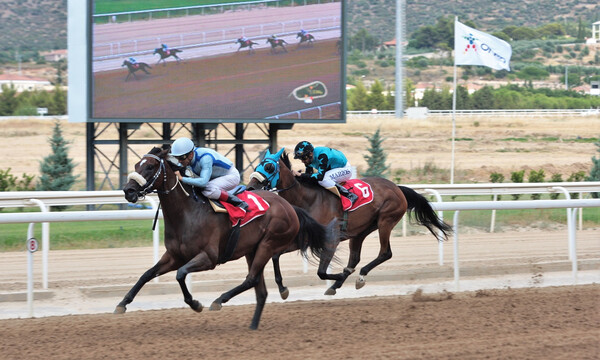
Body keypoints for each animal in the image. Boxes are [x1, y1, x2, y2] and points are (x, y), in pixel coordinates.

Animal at [117, 146, 332, 330]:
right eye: (136, 165)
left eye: (150, 166)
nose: (129, 191)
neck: (187, 213)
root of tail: (290, 206)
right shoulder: (174, 256)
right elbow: (147, 274)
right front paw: (122, 303)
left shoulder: (209, 258)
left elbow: (180, 274)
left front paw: (195, 304)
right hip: (252, 249)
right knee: (259, 289)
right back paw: (253, 325)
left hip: (268, 244)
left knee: (251, 279)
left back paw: (219, 301)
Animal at [247, 148, 450, 298]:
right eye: (257, 165)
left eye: (269, 167)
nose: (250, 187)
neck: (307, 198)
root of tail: (397, 187)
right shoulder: (306, 236)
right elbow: (275, 256)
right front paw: (283, 289)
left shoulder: (331, 239)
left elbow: (321, 272)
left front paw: (337, 275)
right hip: (361, 231)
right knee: (355, 258)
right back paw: (338, 283)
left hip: (386, 221)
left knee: (385, 253)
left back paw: (358, 276)